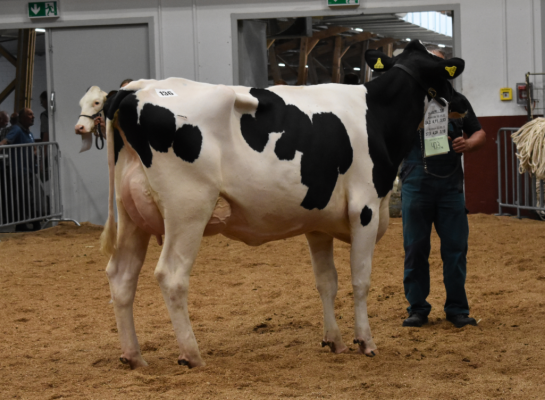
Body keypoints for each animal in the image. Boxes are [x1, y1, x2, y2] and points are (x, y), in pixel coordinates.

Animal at [74, 39, 466, 368]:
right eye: (445, 73)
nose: (462, 107)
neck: (377, 117)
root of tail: (135, 89)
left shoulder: (318, 223)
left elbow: (327, 281)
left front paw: (335, 341)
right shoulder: (365, 209)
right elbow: (360, 279)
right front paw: (365, 342)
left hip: (132, 216)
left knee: (122, 276)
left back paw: (133, 356)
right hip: (188, 208)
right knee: (171, 276)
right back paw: (192, 355)